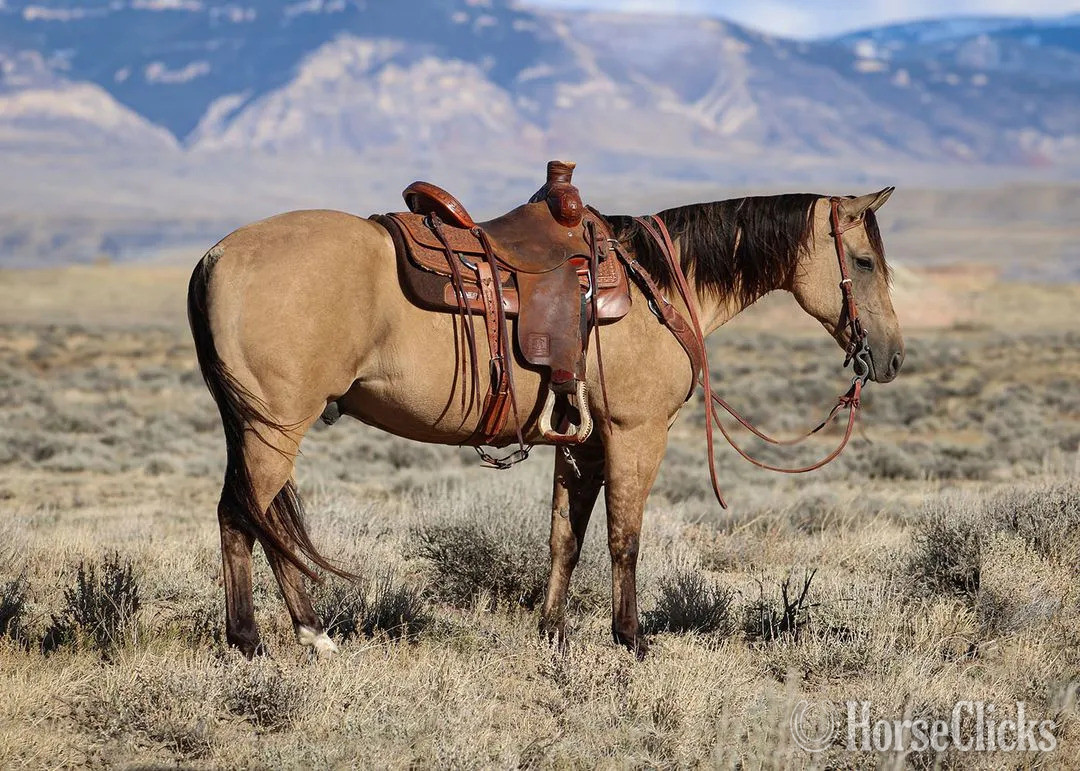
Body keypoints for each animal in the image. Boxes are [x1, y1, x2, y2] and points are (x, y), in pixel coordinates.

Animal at [187, 187, 905, 659]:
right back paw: (254, 641)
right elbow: (624, 538)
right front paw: (631, 639)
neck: (658, 284)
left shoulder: (581, 441)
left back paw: (310, 634)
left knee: (265, 519)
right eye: (865, 261)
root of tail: (214, 256)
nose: (892, 356)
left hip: (258, 427)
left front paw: (552, 631)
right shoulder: (635, 433)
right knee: (241, 516)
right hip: (275, 426)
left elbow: (566, 535)